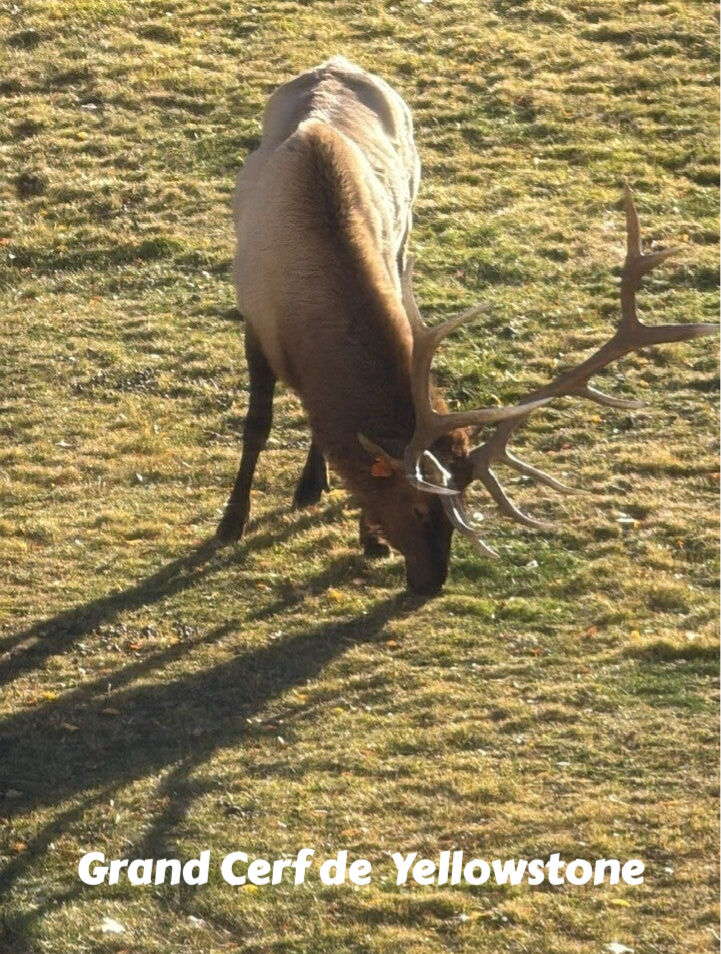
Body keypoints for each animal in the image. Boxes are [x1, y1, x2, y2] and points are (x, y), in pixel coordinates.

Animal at [215, 56, 718, 595]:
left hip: (406, 229)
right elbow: (257, 425)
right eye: (418, 506)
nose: (430, 583)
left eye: (462, 507)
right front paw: (231, 521)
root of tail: (337, 62)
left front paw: (366, 538)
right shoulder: (254, 320)